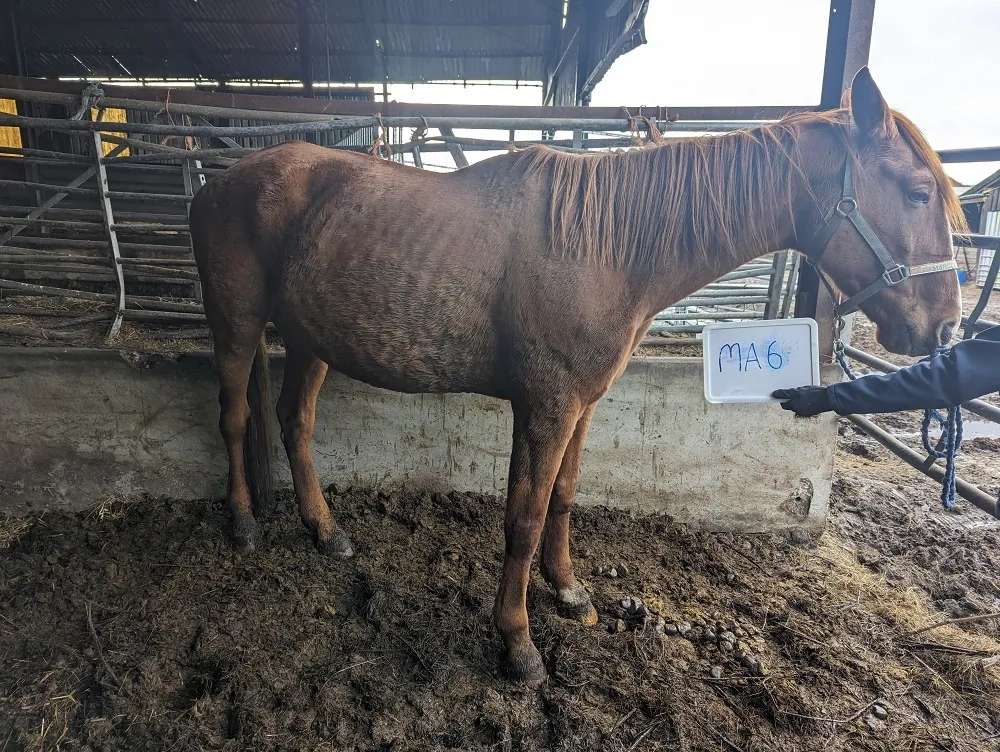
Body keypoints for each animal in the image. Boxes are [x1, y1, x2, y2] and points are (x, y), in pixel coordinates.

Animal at [189, 68, 965, 685]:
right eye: (918, 192)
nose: (943, 329)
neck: (607, 248)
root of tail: (219, 183)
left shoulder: (583, 404)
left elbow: (562, 498)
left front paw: (568, 593)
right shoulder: (546, 405)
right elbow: (525, 518)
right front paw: (518, 644)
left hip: (310, 338)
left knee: (295, 423)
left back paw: (325, 531)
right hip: (236, 323)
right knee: (235, 416)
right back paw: (244, 522)